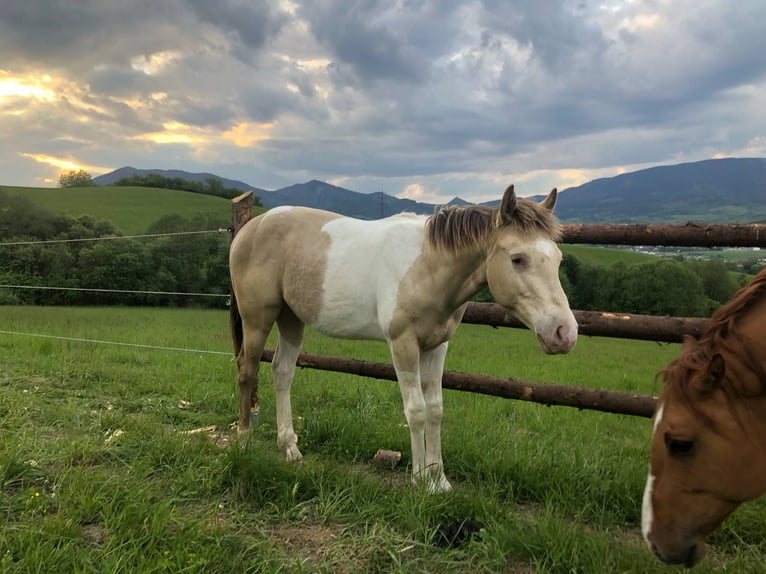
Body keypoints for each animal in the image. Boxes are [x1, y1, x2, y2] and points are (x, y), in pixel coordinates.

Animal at [229, 184, 578, 492]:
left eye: (559, 259)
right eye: (518, 258)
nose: (565, 333)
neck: (428, 266)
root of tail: (251, 227)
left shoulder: (437, 347)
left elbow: (435, 409)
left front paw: (439, 481)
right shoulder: (403, 344)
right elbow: (416, 410)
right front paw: (420, 480)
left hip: (291, 318)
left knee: (282, 372)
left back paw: (290, 448)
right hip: (258, 318)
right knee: (247, 369)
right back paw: (244, 441)